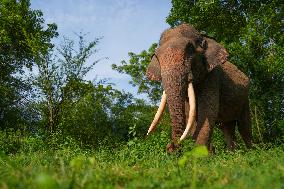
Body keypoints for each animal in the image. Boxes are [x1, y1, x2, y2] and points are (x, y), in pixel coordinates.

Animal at [145, 23, 252, 153]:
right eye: (156, 56)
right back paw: (233, 153)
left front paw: (198, 154)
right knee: (227, 127)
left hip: (245, 99)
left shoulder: (212, 76)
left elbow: (207, 111)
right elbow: (190, 113)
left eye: (190, 49)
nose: (171, 147)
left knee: (244, 127)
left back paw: (253, 151)